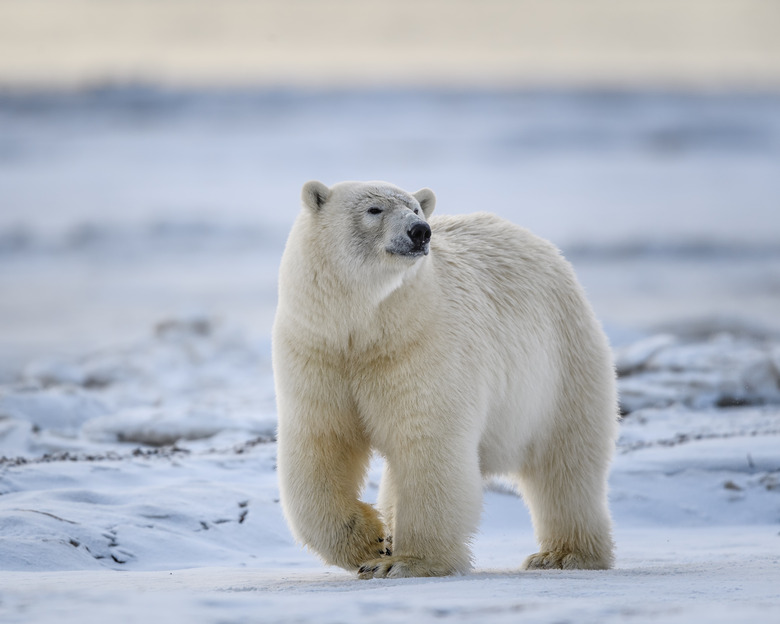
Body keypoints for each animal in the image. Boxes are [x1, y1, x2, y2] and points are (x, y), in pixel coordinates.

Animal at [272, 178, 620, 576]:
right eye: (374, 209)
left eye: (415, 207)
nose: (420, 231)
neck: (363, 328)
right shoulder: (318, 351)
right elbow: (321, 444)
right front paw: (372, 544)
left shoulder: (420, 344)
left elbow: (428, 441)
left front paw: (406, 561)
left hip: (560, 365)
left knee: (566, 464)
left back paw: (563, 555)